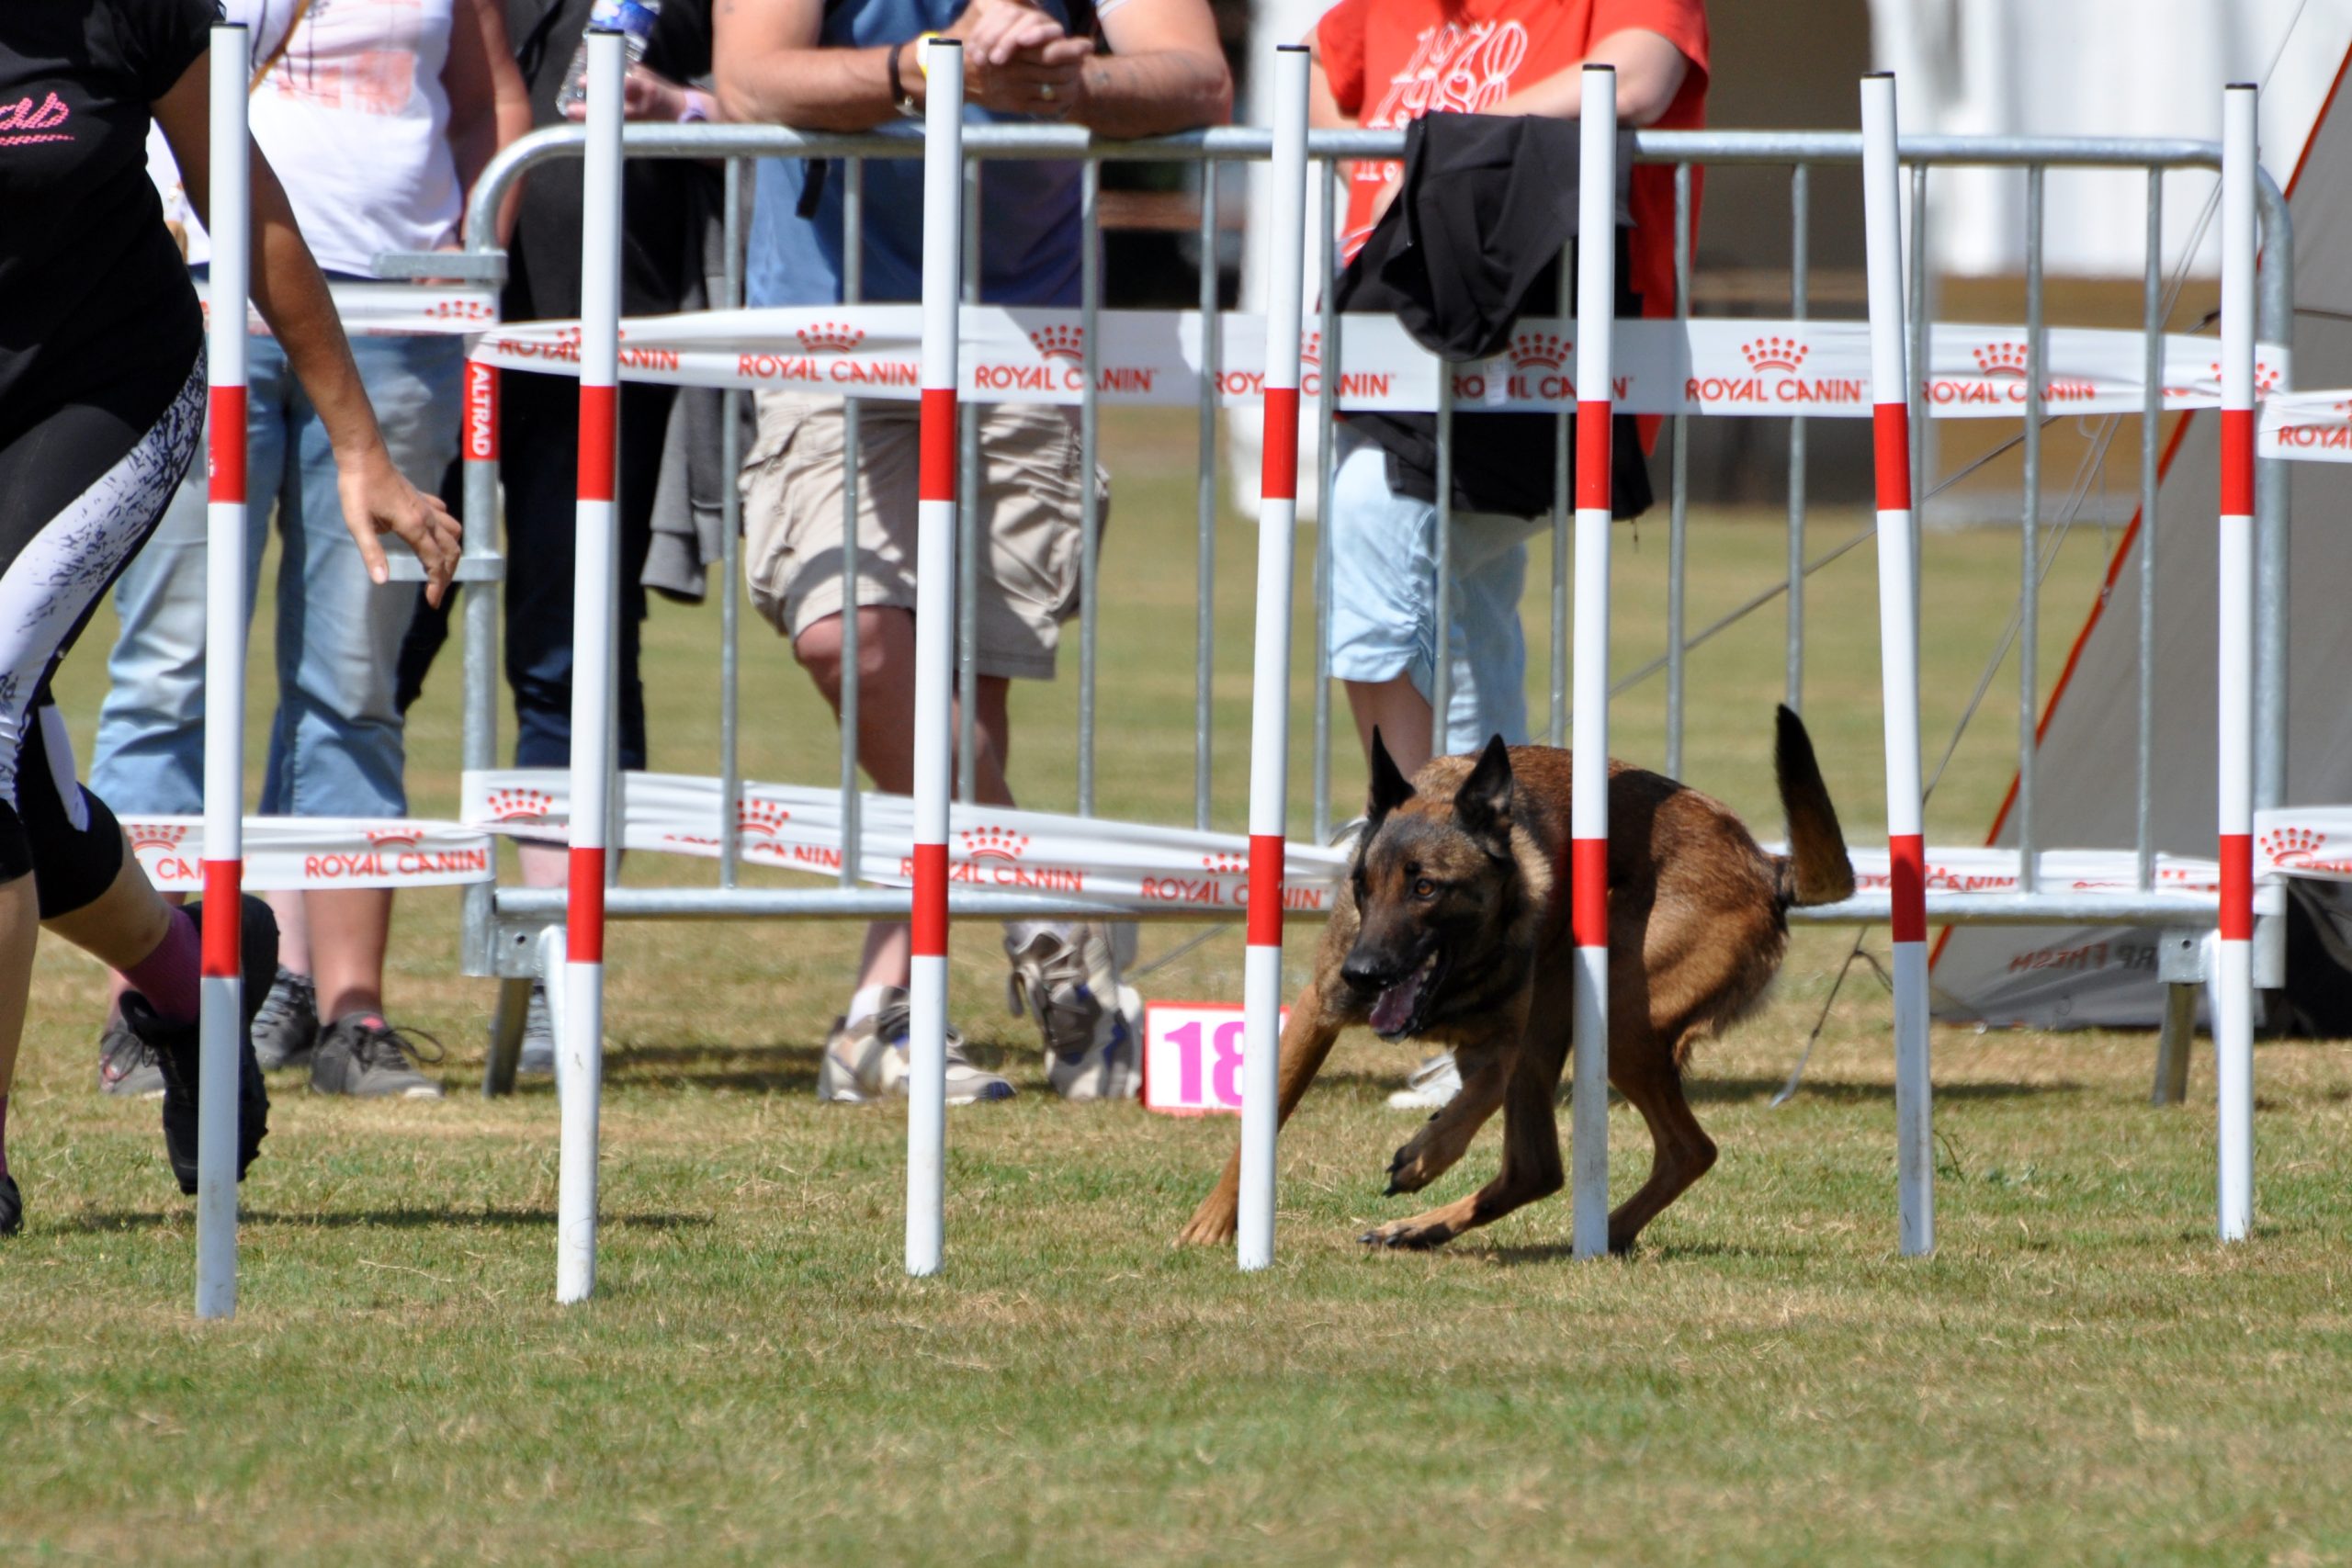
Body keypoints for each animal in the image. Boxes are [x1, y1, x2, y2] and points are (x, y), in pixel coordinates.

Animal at [1175, 706, 1855, 1255]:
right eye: (1363, 885)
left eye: (1427, 888)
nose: (1363, 975)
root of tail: (1767, 865)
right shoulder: (1318, 1008)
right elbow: (1267, 1114)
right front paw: (1211, 1223)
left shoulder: (1505, 1039)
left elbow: (1474, 1100)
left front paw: (1426, 1153)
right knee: (1550, 1167)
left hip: (1609, 1012)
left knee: (1676, 1150)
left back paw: (1576, 1234)